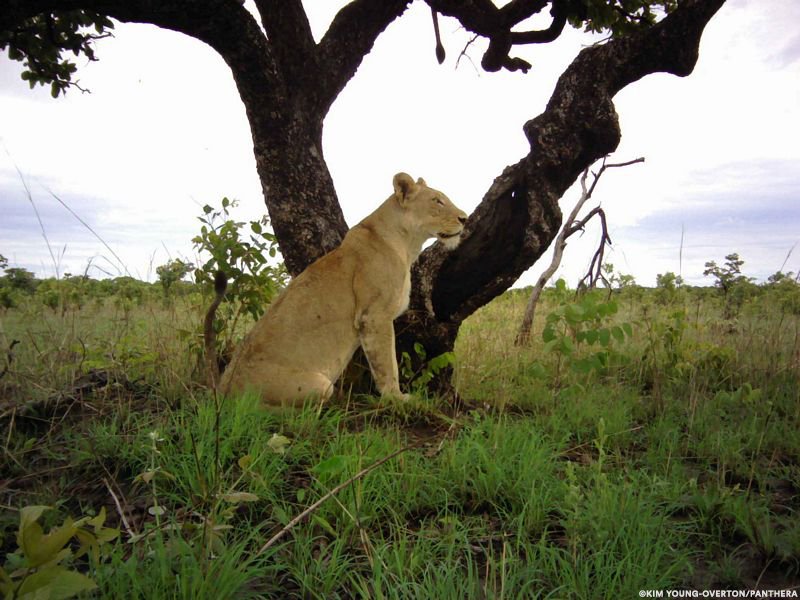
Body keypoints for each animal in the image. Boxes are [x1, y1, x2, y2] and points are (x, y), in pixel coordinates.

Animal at [206, 172, 467, 406]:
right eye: (437, 200)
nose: (465, 219)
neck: (407, 244)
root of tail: (222, 389)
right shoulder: (374, 315)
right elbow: (387, 363)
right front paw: (397, 398)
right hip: (318, 385)